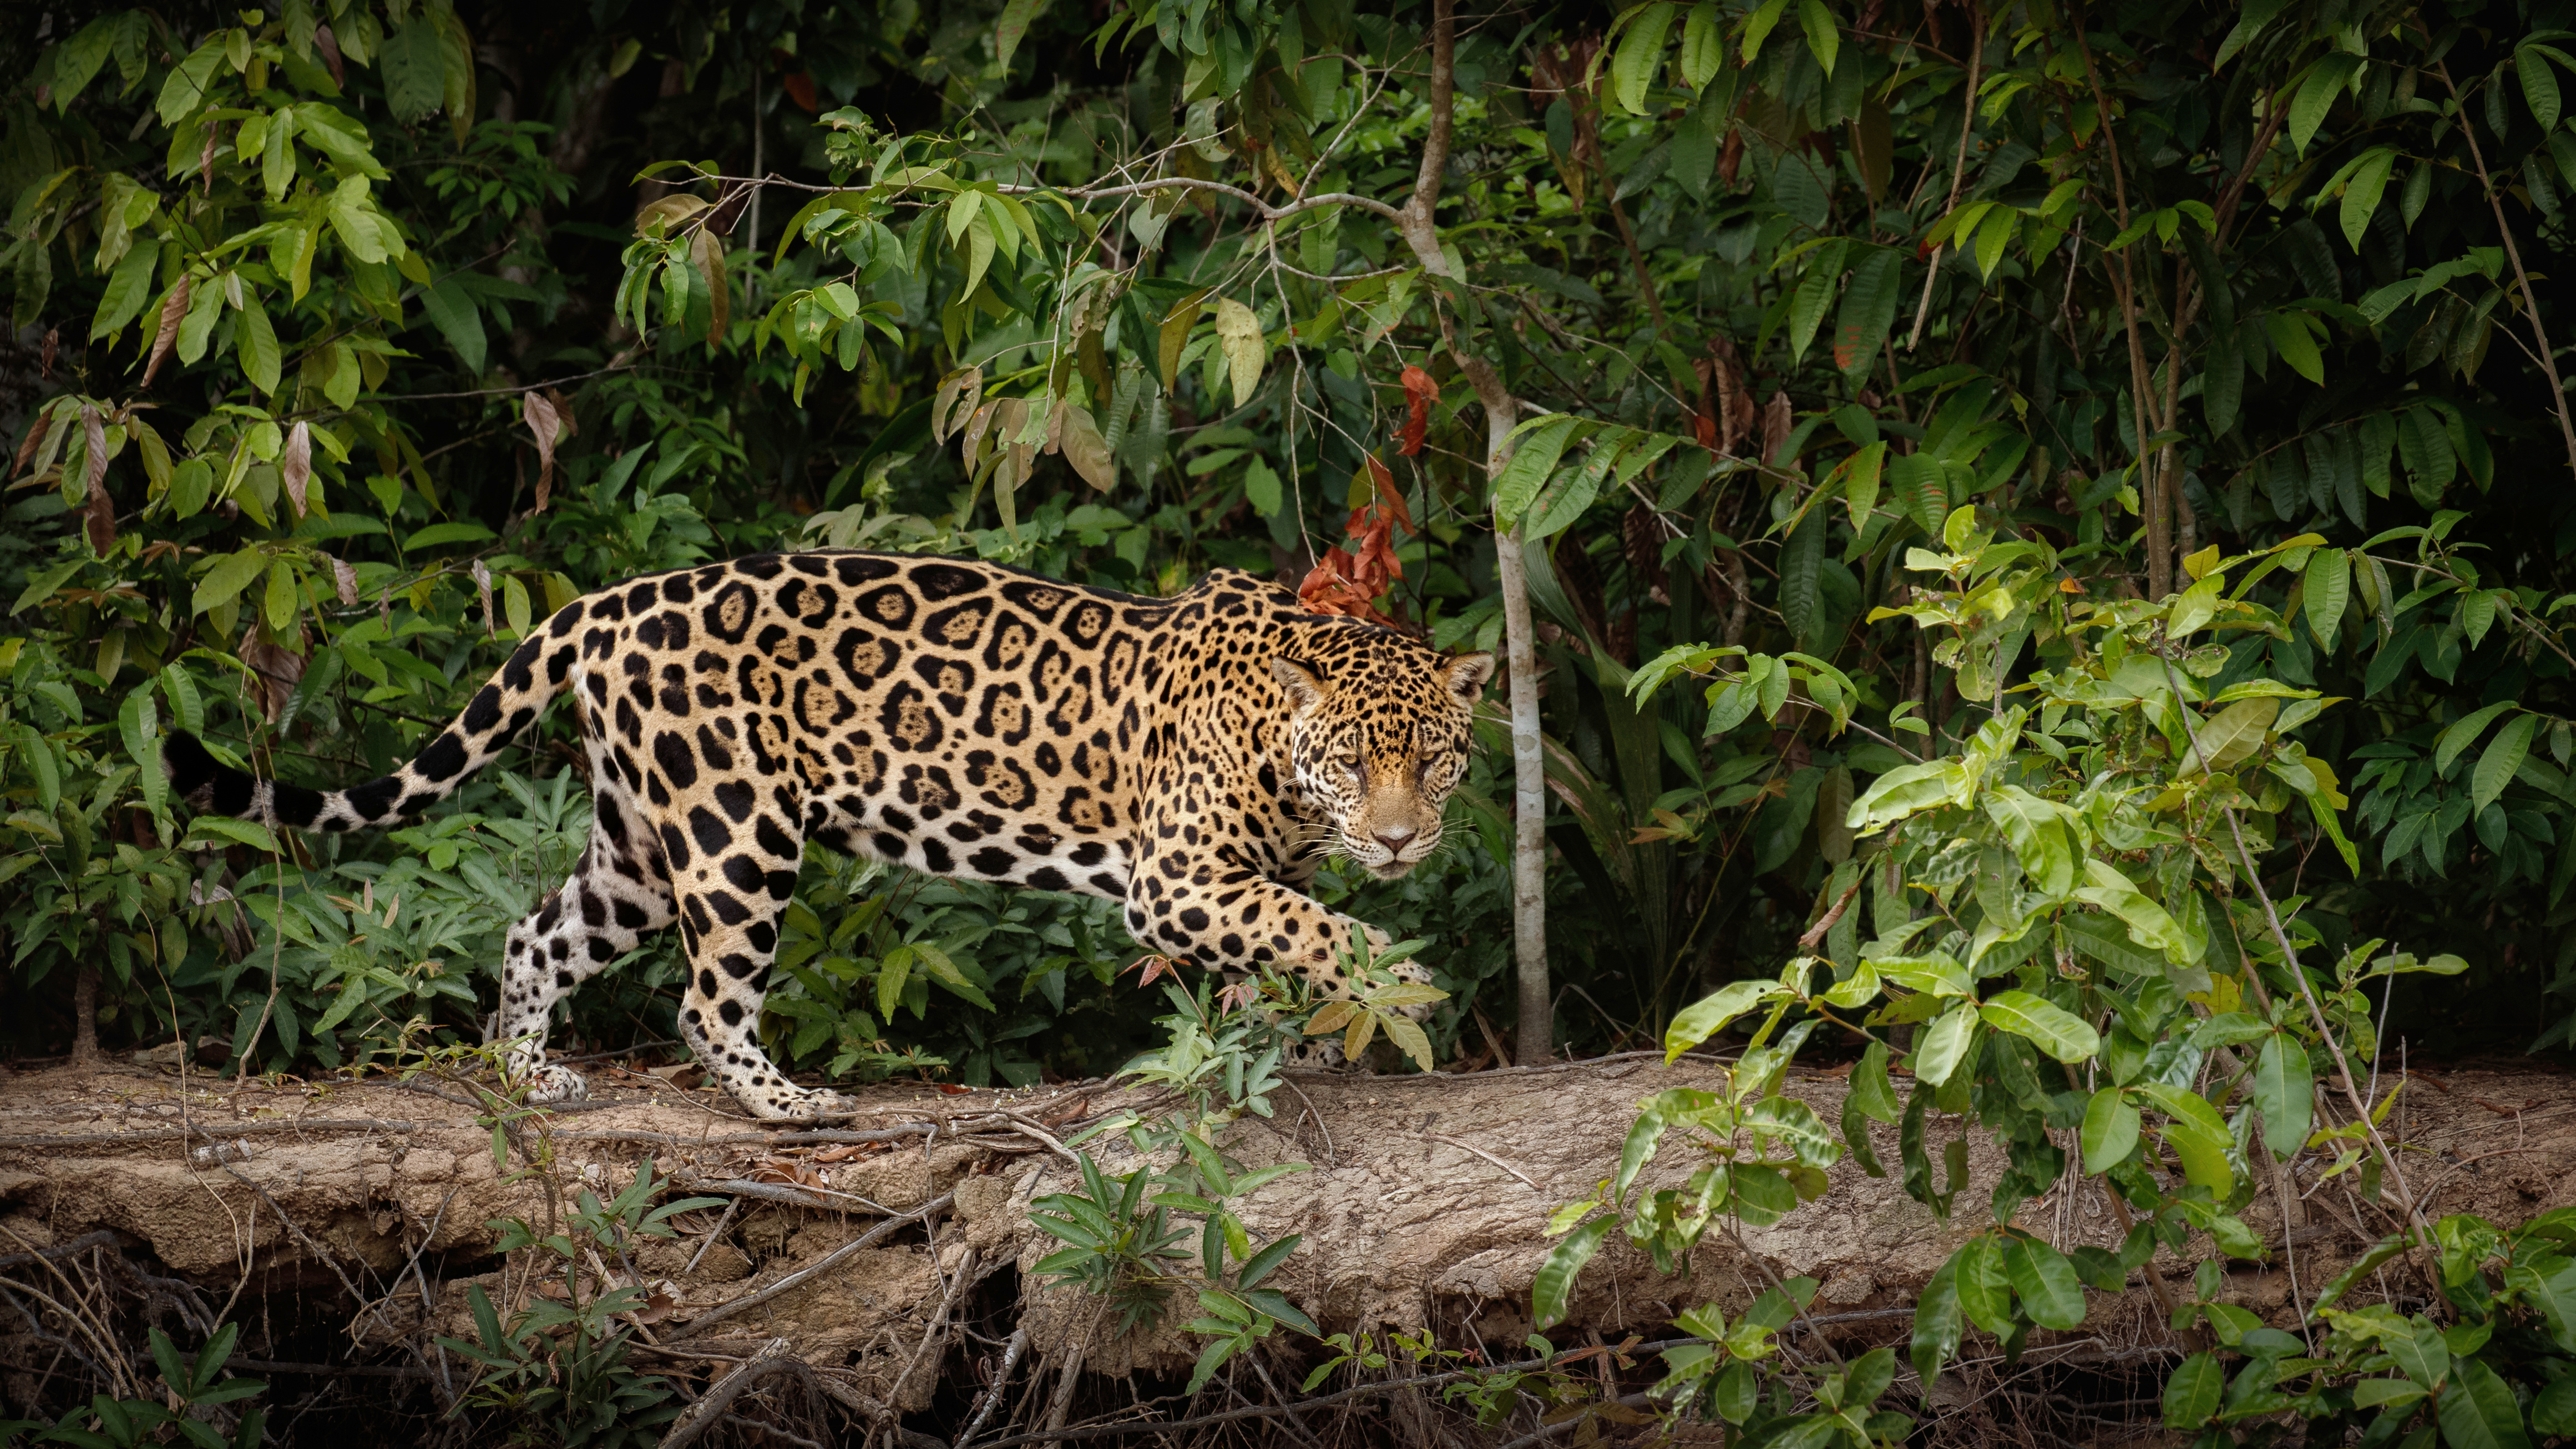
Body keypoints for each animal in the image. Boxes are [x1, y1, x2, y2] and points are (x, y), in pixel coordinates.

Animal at [164, 551, 1494, 1120]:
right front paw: (1400, 987)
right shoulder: (1174, 877)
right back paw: (787, 1104)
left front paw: (1296, 1041)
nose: (1395, 843)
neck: (1281, 750)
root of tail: (601, 605)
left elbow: (1266, 949)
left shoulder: (1225, 883)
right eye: (1354, 761)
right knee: (701, 1002)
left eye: (1431, 758)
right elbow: (1305, 924)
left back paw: (528, 1071)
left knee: (535, 934)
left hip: (637, 846)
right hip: (734, 831)